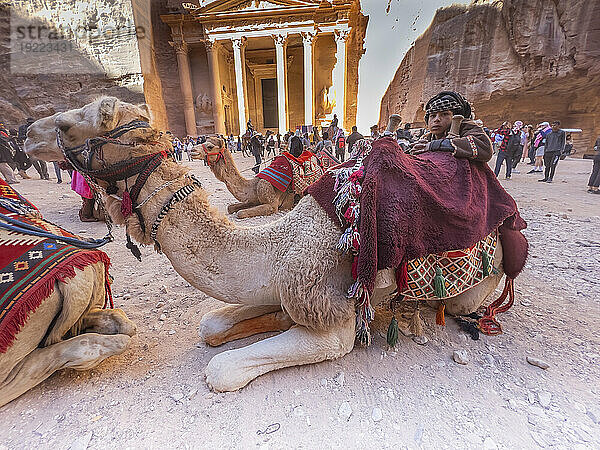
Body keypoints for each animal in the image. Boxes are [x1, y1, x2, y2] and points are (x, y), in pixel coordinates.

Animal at [25, 96, 506, 394]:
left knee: (461, 304)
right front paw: (261, 322)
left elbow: (221, 369)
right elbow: (213, 324)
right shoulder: (277, 284)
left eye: (67, 125)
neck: (275, 247)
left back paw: (415, 315)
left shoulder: (329, 312)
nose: (28, 133)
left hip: (478, 286)